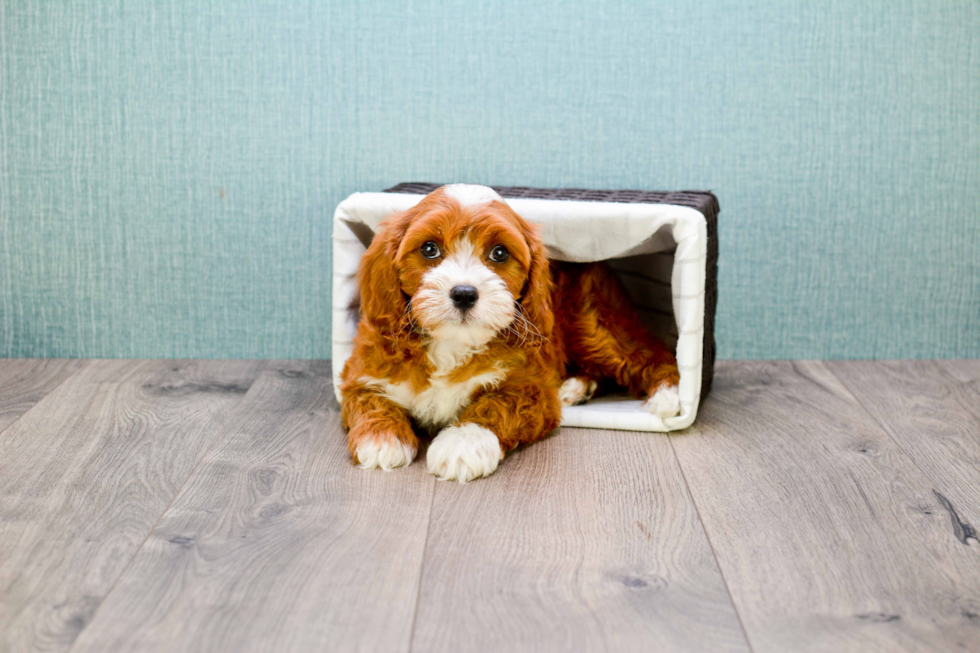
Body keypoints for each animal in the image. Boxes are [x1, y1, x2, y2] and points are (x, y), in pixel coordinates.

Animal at [342, 183, 680, 478]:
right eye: (429, 249)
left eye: (500, 253)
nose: (464, 293)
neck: (452, 344)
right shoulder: (362, 371)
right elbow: (368, 398)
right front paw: (382, 438)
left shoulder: (530, 388)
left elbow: (495, 405)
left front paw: (462, 444)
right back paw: (575, 388)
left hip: (593, 325)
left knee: (646, 352)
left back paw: (668, 396)